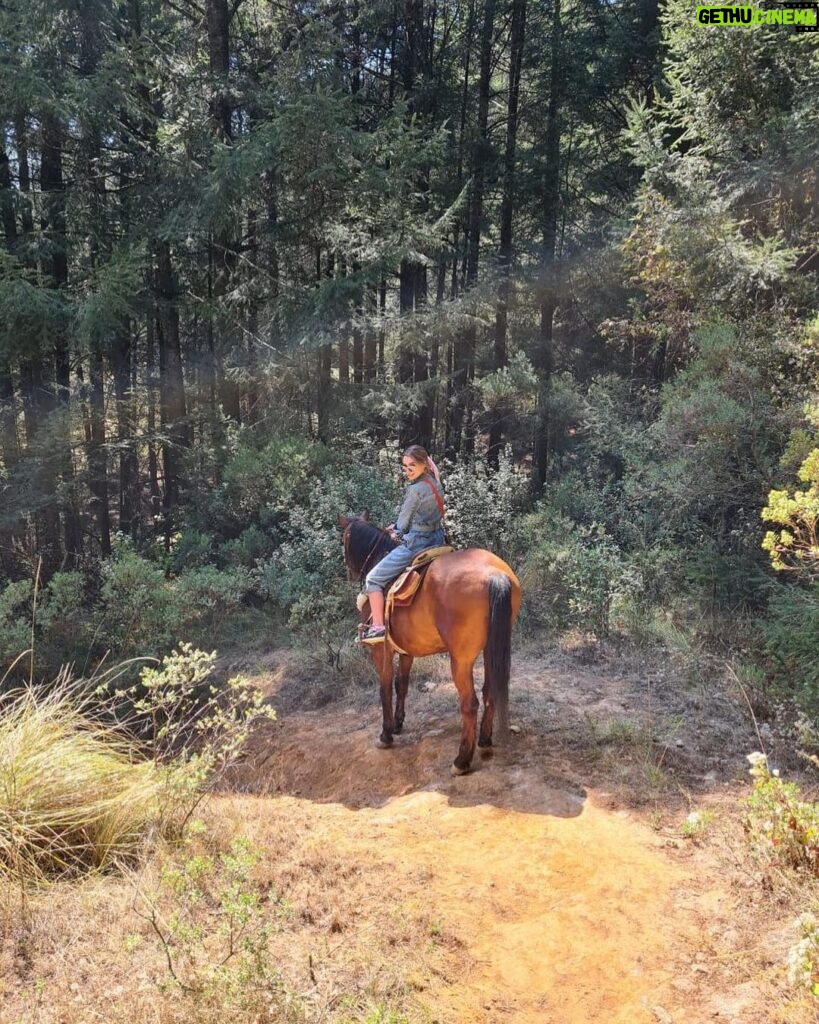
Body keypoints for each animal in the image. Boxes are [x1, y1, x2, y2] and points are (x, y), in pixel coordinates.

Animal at [339, 516, 522, 770]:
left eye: (344, 539)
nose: (351, 574)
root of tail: (494, 574)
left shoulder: (381, 650)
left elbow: (385, 688)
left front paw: (386, 734)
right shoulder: (406, 651)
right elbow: (402, 684)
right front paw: (398, 723)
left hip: (461, 660)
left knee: (470, 703)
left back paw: (462, 760)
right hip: (491, 649)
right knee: (490, 691)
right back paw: (485, 740)